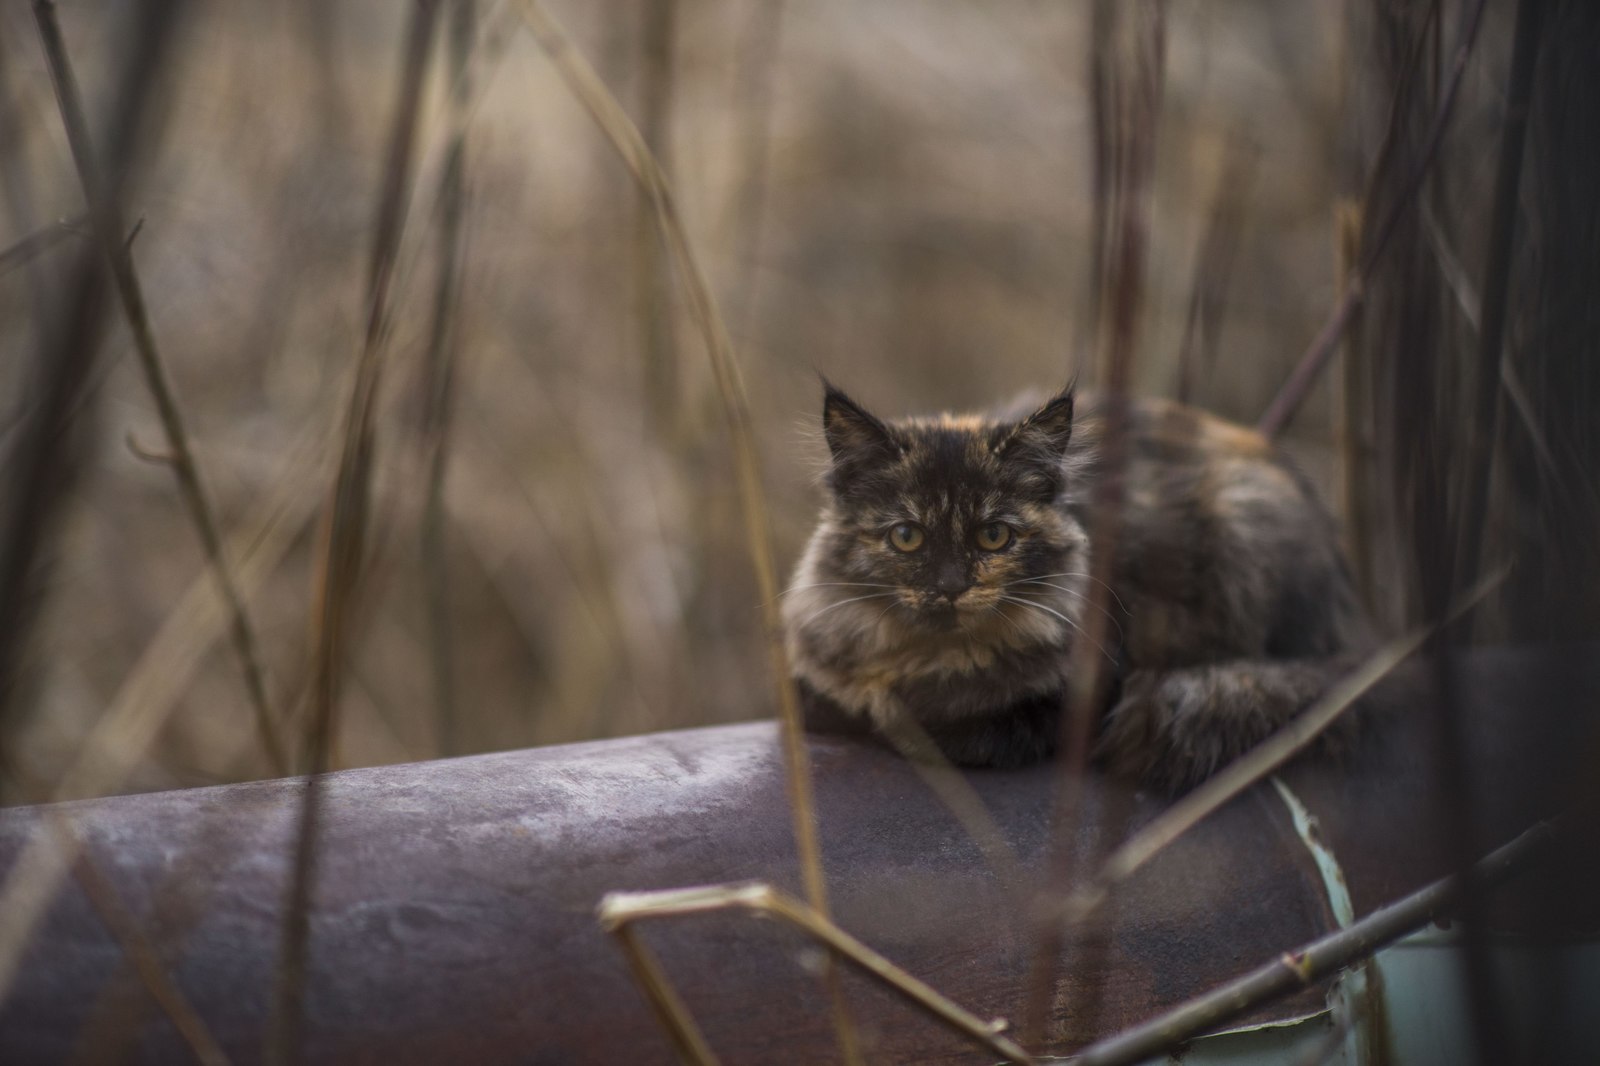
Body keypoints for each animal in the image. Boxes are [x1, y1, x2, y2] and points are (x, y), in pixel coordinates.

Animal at [784, 382, 1376, 787]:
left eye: (994, 536)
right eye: (907, 537)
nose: (951, 585)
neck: (935, 660)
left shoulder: (1074, 697)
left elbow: (926, 725)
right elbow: (826, 700)